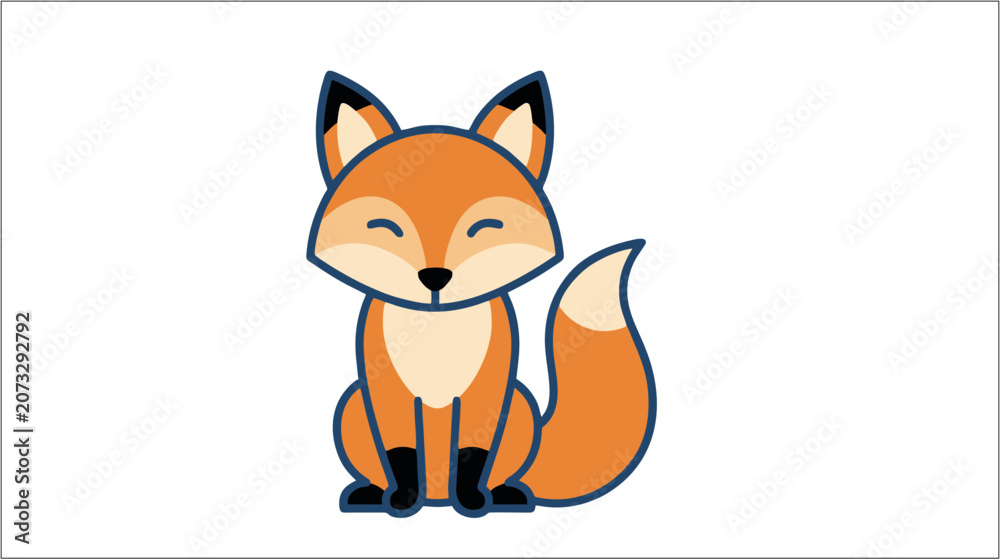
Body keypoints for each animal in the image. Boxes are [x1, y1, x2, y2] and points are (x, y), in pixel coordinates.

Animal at [307, 71, 656, 517]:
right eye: (385, 227)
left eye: (484, 228)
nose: (435, 278)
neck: (436, 331)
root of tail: (438, 498)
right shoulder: (387, 393)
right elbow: (401, 454)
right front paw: (402, 501)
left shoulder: (487, 392)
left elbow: (473, 452)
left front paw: (473, 501)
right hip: (353, 403)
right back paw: (372, 493)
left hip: (518, 405)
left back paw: (505, 494)